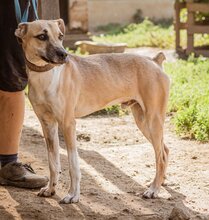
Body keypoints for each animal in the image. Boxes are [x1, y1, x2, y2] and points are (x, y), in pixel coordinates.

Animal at [15, 19, 170, 205]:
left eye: (60, 36)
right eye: (42, 36)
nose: (64, 55)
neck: (46, 75)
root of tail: (154, 60)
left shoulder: (67, 124)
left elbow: (73, 165)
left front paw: (72, 195)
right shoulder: (47, 125)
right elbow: (53, 163)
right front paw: (50, 189)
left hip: (153, 120)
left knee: (160, 156)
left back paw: (153, 190)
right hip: (143, 121)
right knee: (164, 151)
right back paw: (160, 182)